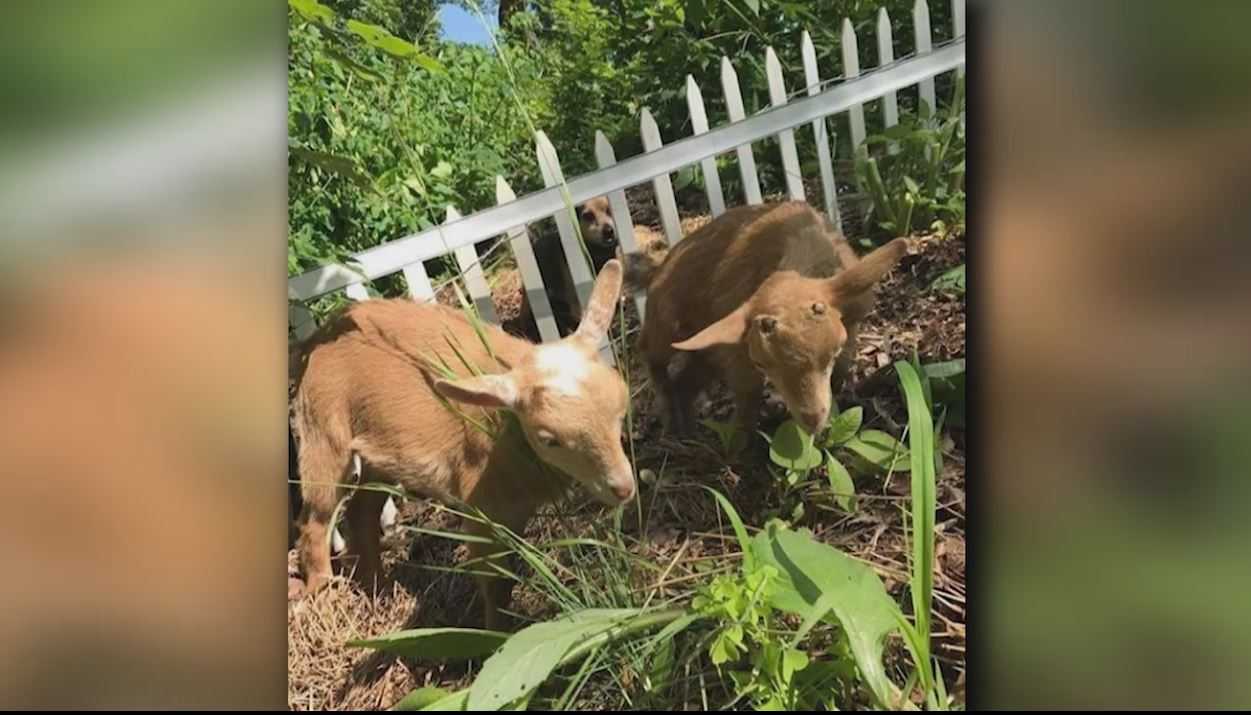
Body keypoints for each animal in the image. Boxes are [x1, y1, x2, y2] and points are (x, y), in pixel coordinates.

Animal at [291, 260, 635, 630]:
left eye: (622, 407)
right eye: (549, 439)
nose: (623, 488)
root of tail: (319, 335)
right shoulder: (483, 510)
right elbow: (497, 582)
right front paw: (497, 634)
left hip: (378, 455)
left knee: (360, 512)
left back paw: (378, 591)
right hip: (323, 432)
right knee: (316, 516)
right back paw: (322, 590)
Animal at [639, 201, 909, 442]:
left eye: (834, 349)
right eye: (762, 363)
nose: (812, 420)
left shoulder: (851, 324)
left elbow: (842, 369)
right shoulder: (737, 345)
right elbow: (748, 391)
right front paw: (740, 448)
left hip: (703, 349)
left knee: (684, 381)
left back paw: (687, 433)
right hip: (664, 325)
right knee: (653, 359)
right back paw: (671, 424)